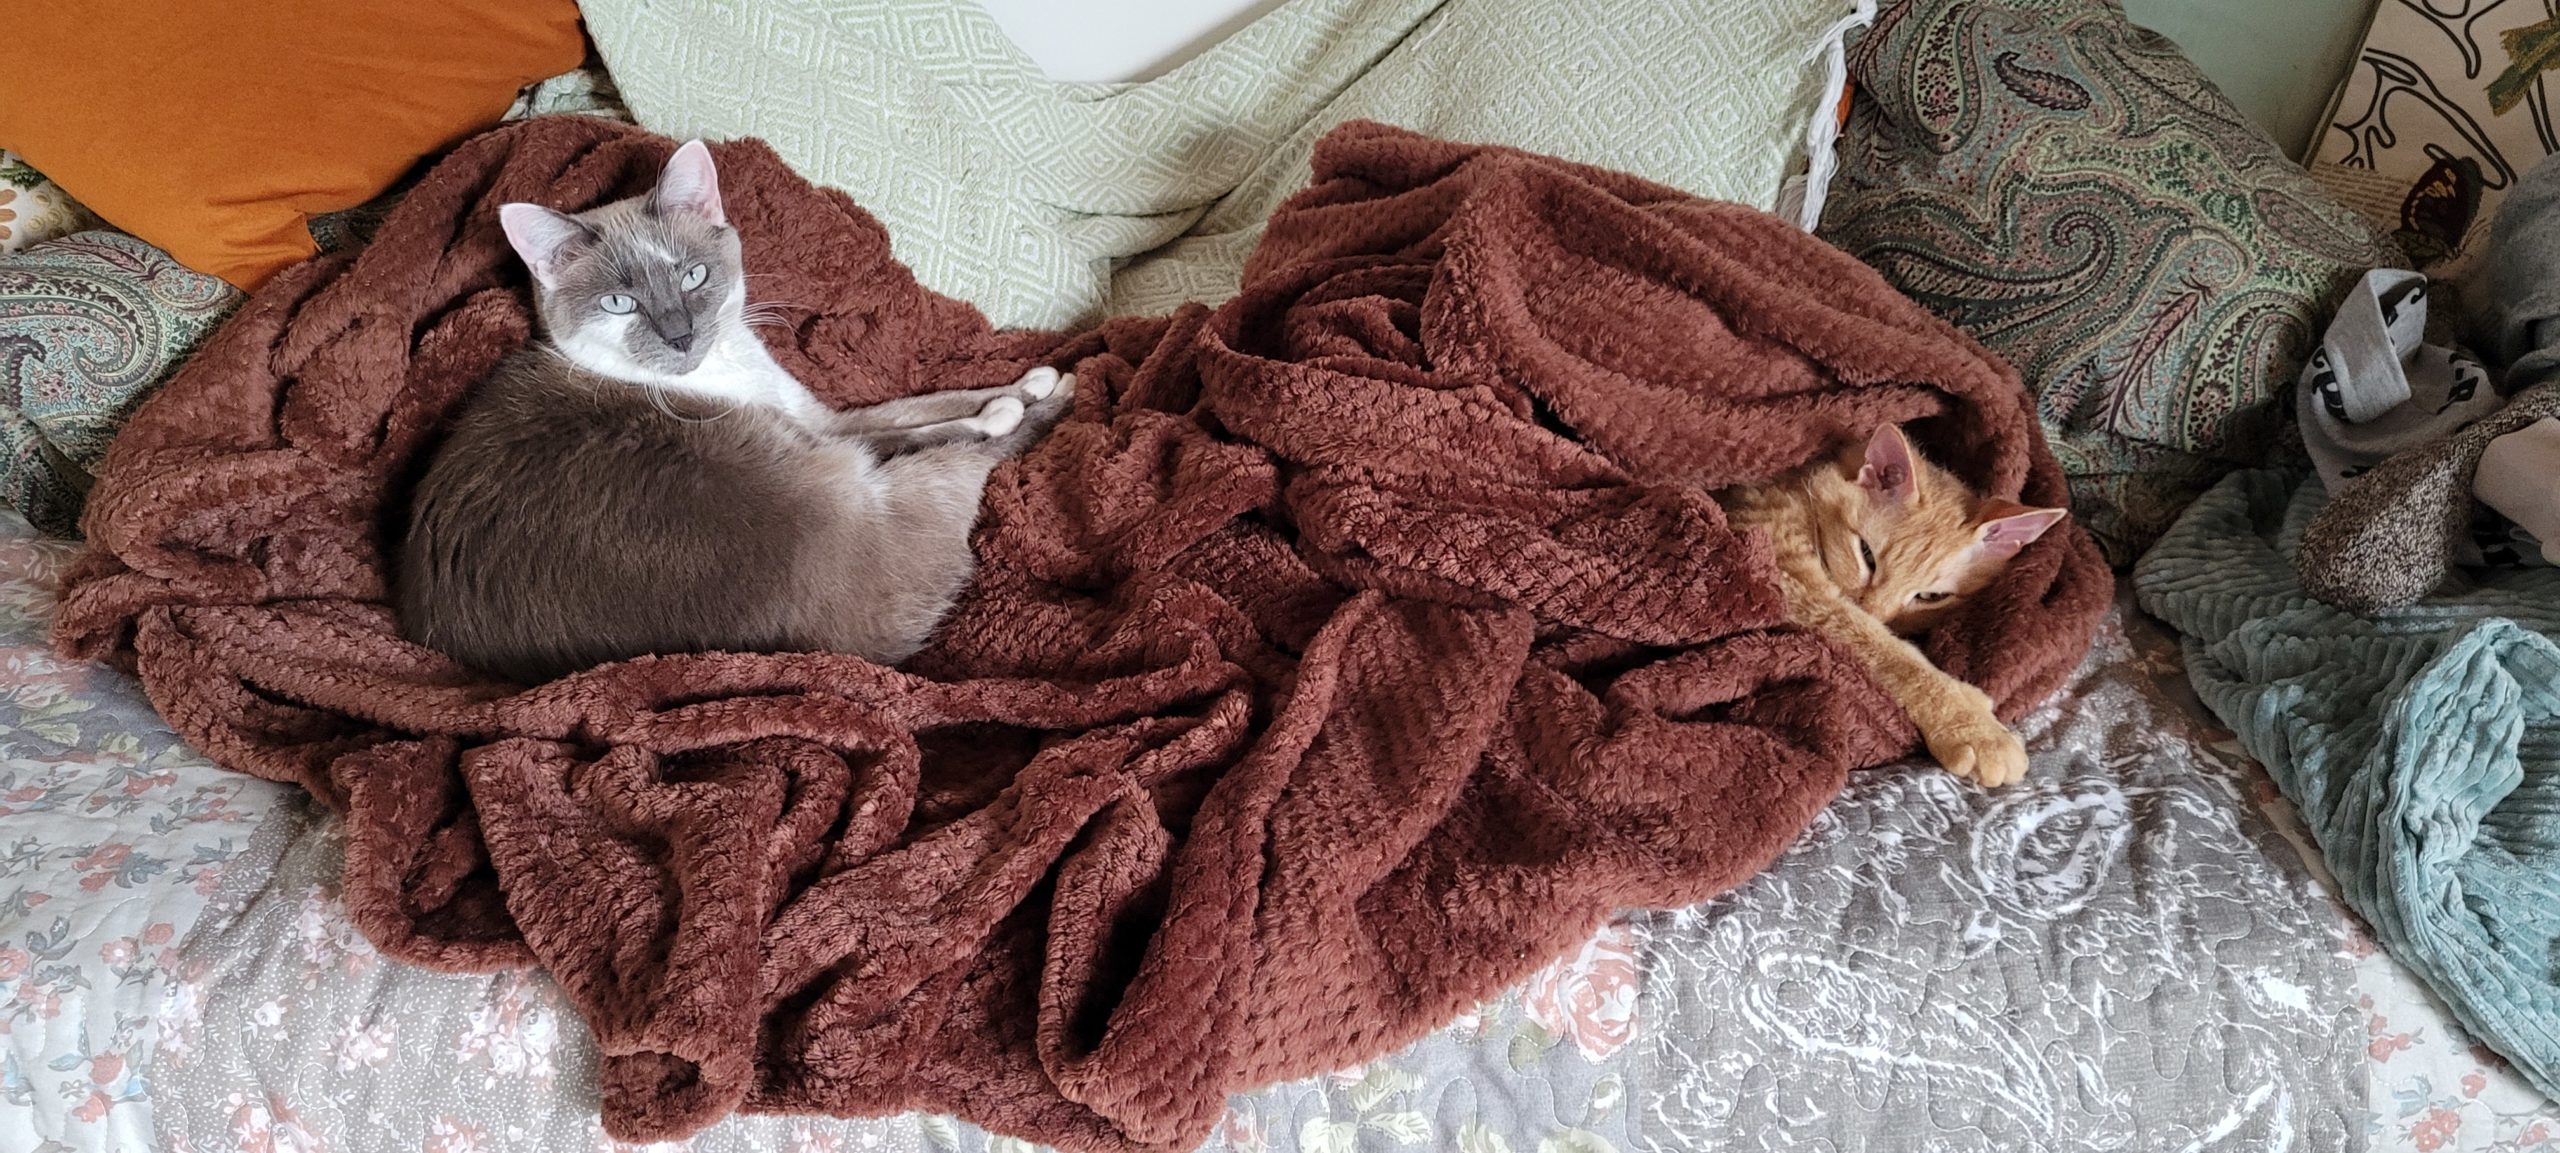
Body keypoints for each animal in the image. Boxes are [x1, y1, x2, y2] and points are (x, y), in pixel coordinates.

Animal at [404, 142, 1064, 686]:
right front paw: (1023, 397)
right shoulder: (823, 437)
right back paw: (1054, 395)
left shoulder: (819, 418)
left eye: (693, 275)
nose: (679, 335)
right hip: (860, 486)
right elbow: (933, 423)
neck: (728, 368)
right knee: (973, 453)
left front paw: (1030, 378)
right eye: (620, 304)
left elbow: (924, 403)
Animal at [1720, 427, 2058, 789]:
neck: (1795, 488)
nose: (1876, 613)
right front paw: (1973, 727)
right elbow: (1888, 651)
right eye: (1867, 555)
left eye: (1930, 597)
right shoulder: (1789, 576)